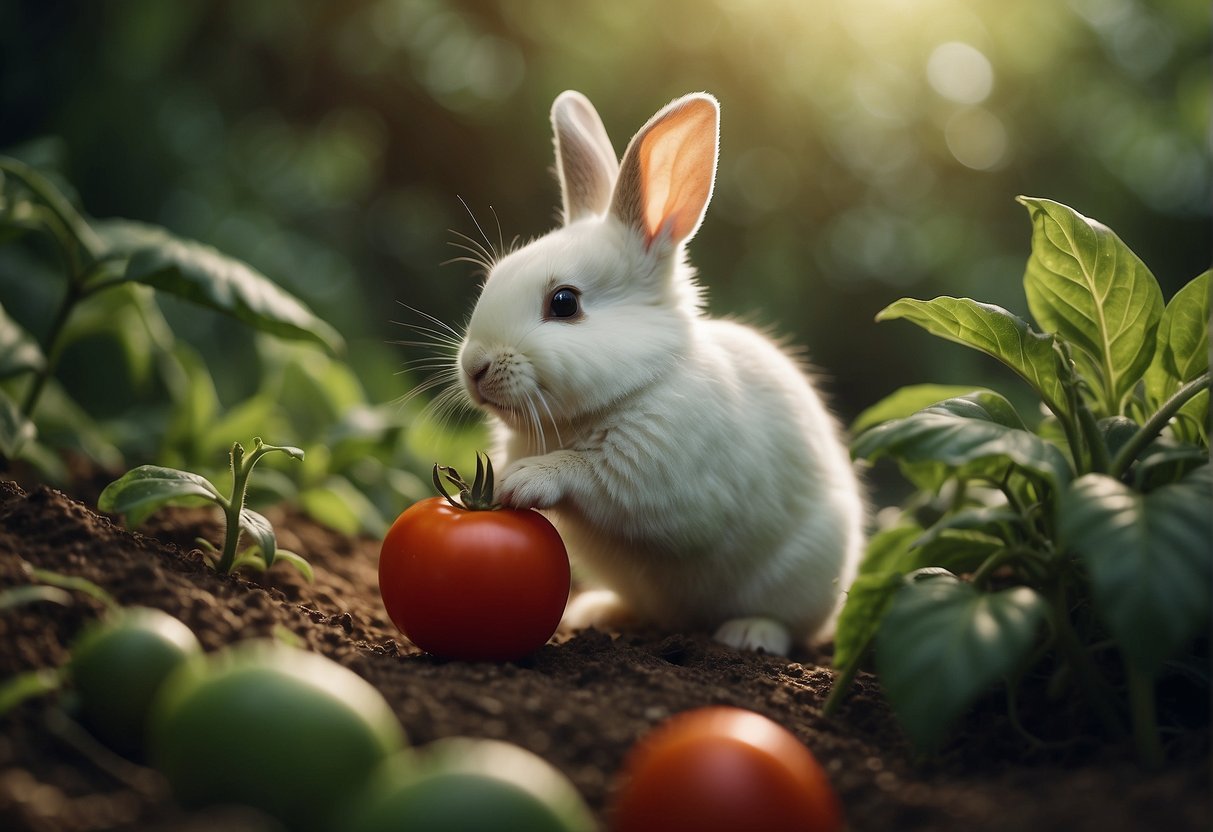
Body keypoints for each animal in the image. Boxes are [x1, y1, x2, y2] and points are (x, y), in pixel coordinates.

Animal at [456, 87, 863, 654]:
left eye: (564, 303)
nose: (474, 367)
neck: (637, 385)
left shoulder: (656, 479)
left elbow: (588, 473)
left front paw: (525, 480)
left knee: (792, 624)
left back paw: (750, 634)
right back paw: (599, 611)